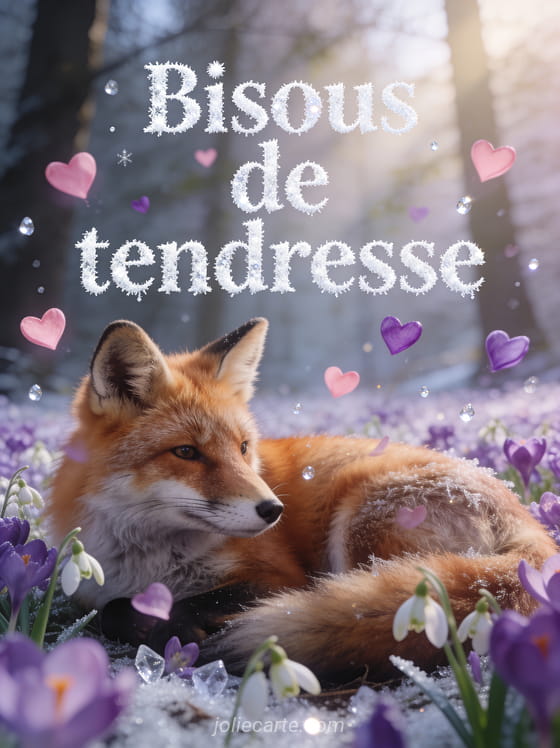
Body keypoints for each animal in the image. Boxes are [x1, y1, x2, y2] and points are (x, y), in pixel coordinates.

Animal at [48, 317, 556, 683]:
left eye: (243, 448)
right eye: (186, 452)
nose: (274, 510)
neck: (149, 562)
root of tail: (530, 524)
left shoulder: (279, 577)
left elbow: (176, 604)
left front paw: (179, 629)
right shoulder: (90, 593)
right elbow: (111, 609)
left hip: (359, 525)